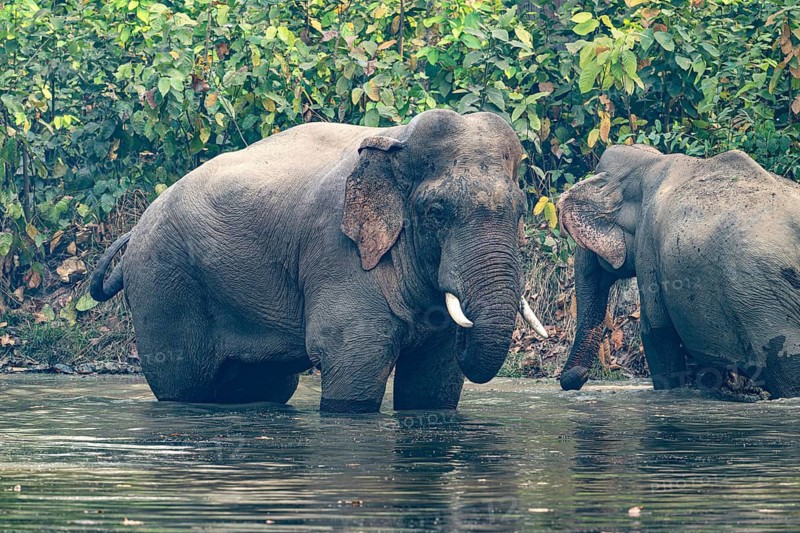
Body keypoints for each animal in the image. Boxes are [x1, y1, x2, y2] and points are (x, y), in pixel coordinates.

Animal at [90, 109, 547, 413]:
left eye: (520, 212)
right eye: (436, 213)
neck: (395, 142)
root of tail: (135, 230)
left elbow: (433, 382)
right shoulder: (337, 253)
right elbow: (352, 364)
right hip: (162, 284)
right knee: (185, 385)